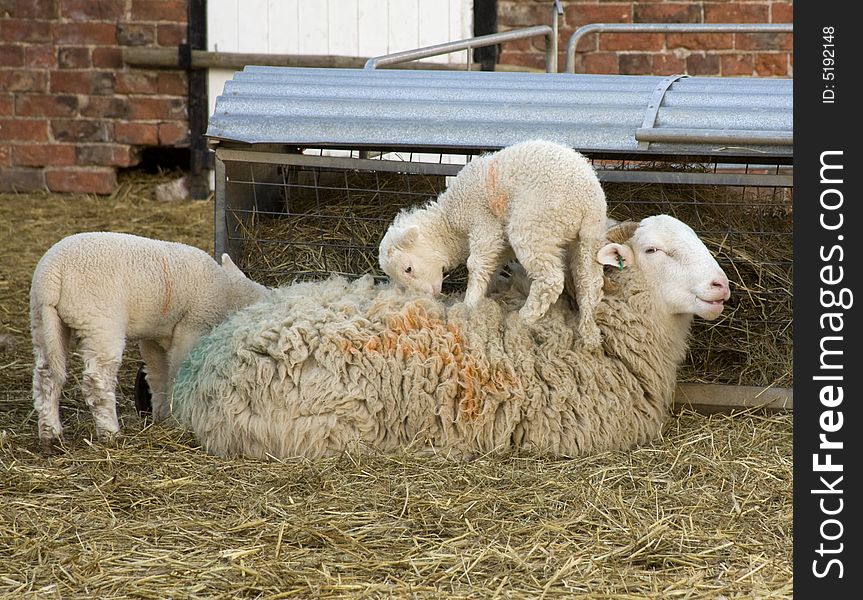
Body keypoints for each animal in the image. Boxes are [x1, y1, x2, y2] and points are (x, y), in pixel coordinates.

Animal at [30, 232, 268, 448]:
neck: (228, 292)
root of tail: (52, 274)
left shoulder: (155, 338)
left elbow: (158, 375)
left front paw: (162, 416)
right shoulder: (192, 327)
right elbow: (177, 371)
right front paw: (175, 418)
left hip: (43, 320)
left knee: (46, 376)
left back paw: (51, 434)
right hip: (99, 320)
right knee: (97, 380)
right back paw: (110, 433)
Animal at [378, 138, 608, 346]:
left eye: (408, 269)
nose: (430, 296)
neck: (450, 223)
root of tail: (589, 203)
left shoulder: (484, 223)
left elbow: (476, 264)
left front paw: (469, 304)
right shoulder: (501, 243)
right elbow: (492, 266)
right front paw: (484, 296)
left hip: (534, 224)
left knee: (550, 280)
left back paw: (524, 316)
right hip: (586, 240)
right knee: (589, 283)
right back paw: (589, 331)